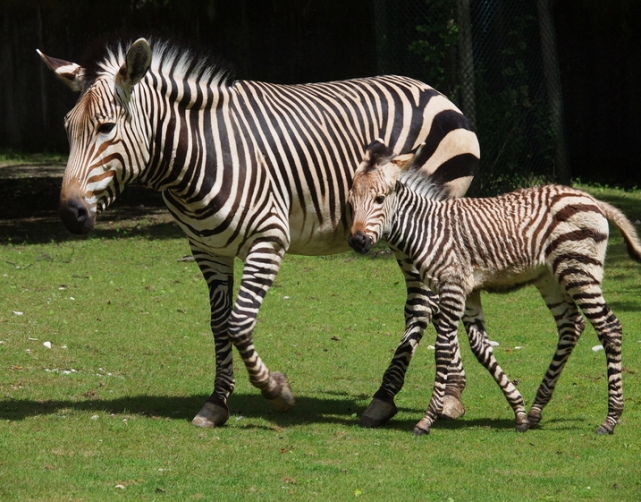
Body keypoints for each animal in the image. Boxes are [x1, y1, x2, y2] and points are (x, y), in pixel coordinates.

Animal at [37, 36, 478, 428]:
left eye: (106, 127)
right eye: (67, 128)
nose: (71, 214)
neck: (199, 154)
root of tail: (434, 92)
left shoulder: (268, 239)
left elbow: (239, 324)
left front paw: (276, 391)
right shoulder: (206, 248)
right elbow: (219, 325)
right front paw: (217, 403)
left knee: (422, 306)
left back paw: (385, 399)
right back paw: (452, 395)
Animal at [348, 140, 640, 436]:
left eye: (380, 199)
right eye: (350, 201)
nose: (357, 242)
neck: (428, 229)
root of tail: (591, 199)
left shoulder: (452, 287)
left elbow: (443, 348)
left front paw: (427, 419)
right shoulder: (468, 291)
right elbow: (481, 348)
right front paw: (519, 412)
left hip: (578, 270)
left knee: (609, 327)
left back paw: (611, 418)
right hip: (549, 277)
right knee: (571, 325)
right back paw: (536, 410)